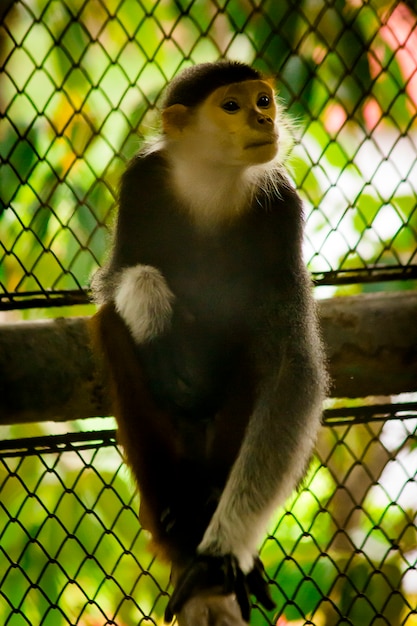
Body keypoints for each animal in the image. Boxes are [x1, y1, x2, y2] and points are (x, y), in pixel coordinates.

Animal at [90, 59, 324, 624]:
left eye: (264, 100)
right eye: (232, 106)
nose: (265, 121)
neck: (213, 182)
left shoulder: (282, 209)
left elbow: (294, 368)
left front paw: (221, 558)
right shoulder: (141, 183)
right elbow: (116, 280)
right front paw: (154, 313)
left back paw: (211, 509)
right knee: (109, 322)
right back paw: (178, 518)